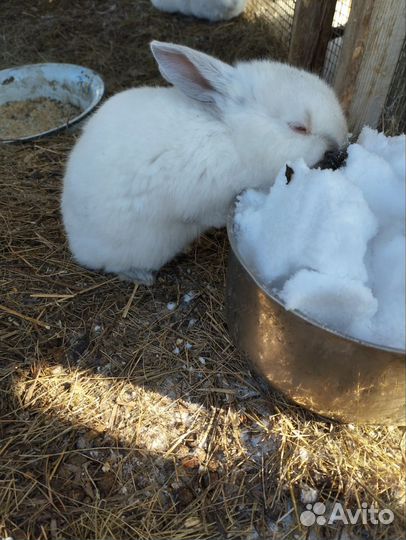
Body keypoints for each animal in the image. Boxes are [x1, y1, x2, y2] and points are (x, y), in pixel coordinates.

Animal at [61, 40, 348, 284]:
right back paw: (140, 276)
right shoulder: (203, 199)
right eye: (299, 127)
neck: (232, 136)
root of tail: (75, 241)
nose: (339, 146)